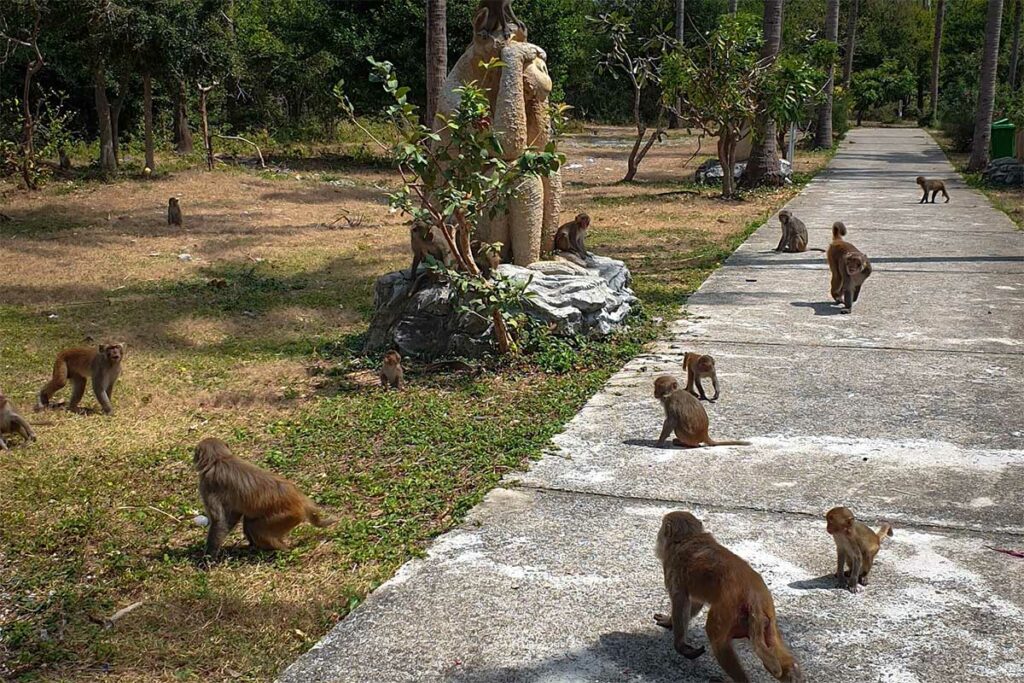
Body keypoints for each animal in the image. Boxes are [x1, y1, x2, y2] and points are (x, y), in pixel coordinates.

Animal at [193, 437, 336, 558]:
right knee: (249, 522)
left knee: (255, 528)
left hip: (285, 516)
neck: (220, 458)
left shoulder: (207, 485)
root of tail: (300, 499)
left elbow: (219, 520)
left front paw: (208, 557)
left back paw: (279, 550)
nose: (193, 458)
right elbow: (232, 515)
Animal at [654, 511, 804, 682]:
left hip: (728, 609)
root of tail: (754, 595)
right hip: (767, 617)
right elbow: (696, 602)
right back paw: (793, 672)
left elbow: (681, 601)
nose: (658, 536)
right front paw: (670, 622)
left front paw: (679, 643)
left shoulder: (671, 567)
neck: (688, 537)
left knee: (717, 639)